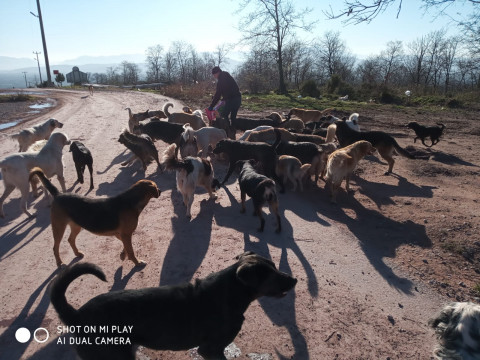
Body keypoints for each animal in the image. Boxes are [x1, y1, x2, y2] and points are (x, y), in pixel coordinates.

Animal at [29, 167, 160, 266]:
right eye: (156, 186)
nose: (160, 191)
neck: (131, 200)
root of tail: (58, 194)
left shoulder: (121, 234)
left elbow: (125, 246)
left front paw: (123, 255)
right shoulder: (126, 234)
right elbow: (131, 251)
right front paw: (137, 262)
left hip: (76, 226)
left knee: (70, 239)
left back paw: (77, 253)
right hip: (58, 227)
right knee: (55, 247)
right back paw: (60, 263)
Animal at [49, 252, 296, 360]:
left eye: (275, 266)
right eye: (271, 275)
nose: (294, 280)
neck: (230, 291)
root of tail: (77, 316)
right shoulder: (211, 349)